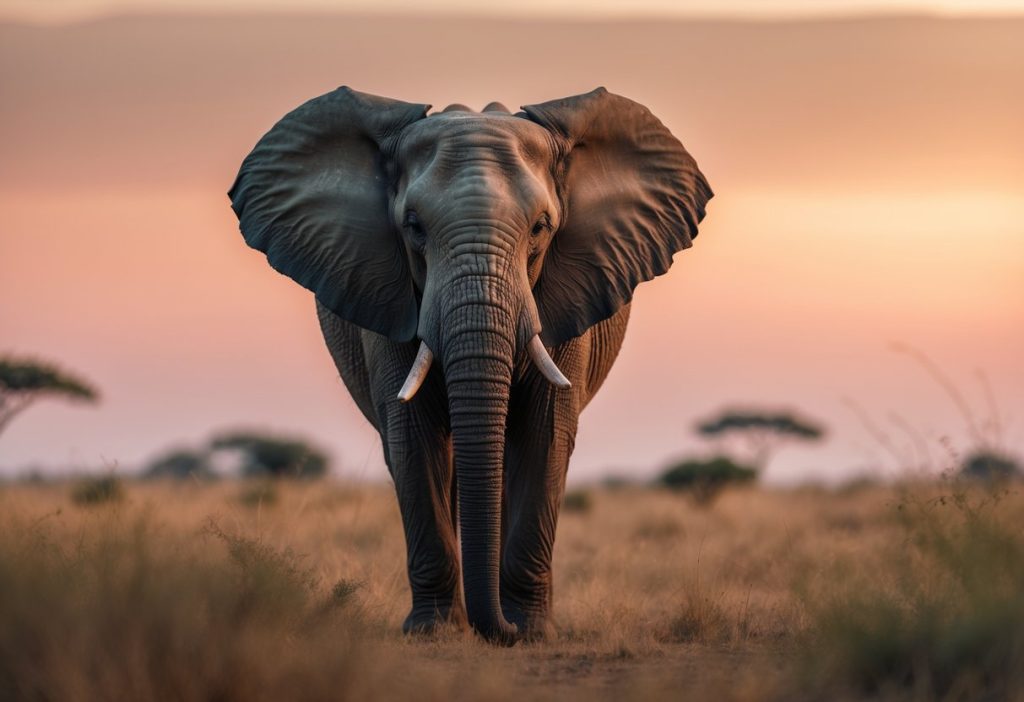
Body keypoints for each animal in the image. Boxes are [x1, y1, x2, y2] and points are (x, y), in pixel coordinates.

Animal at [228, 86, 712, 643]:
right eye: (413, 227)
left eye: (541, 228)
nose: (500, 629)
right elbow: (412, 437)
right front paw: (433, 632)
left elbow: (545, 434)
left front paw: (531, 632)